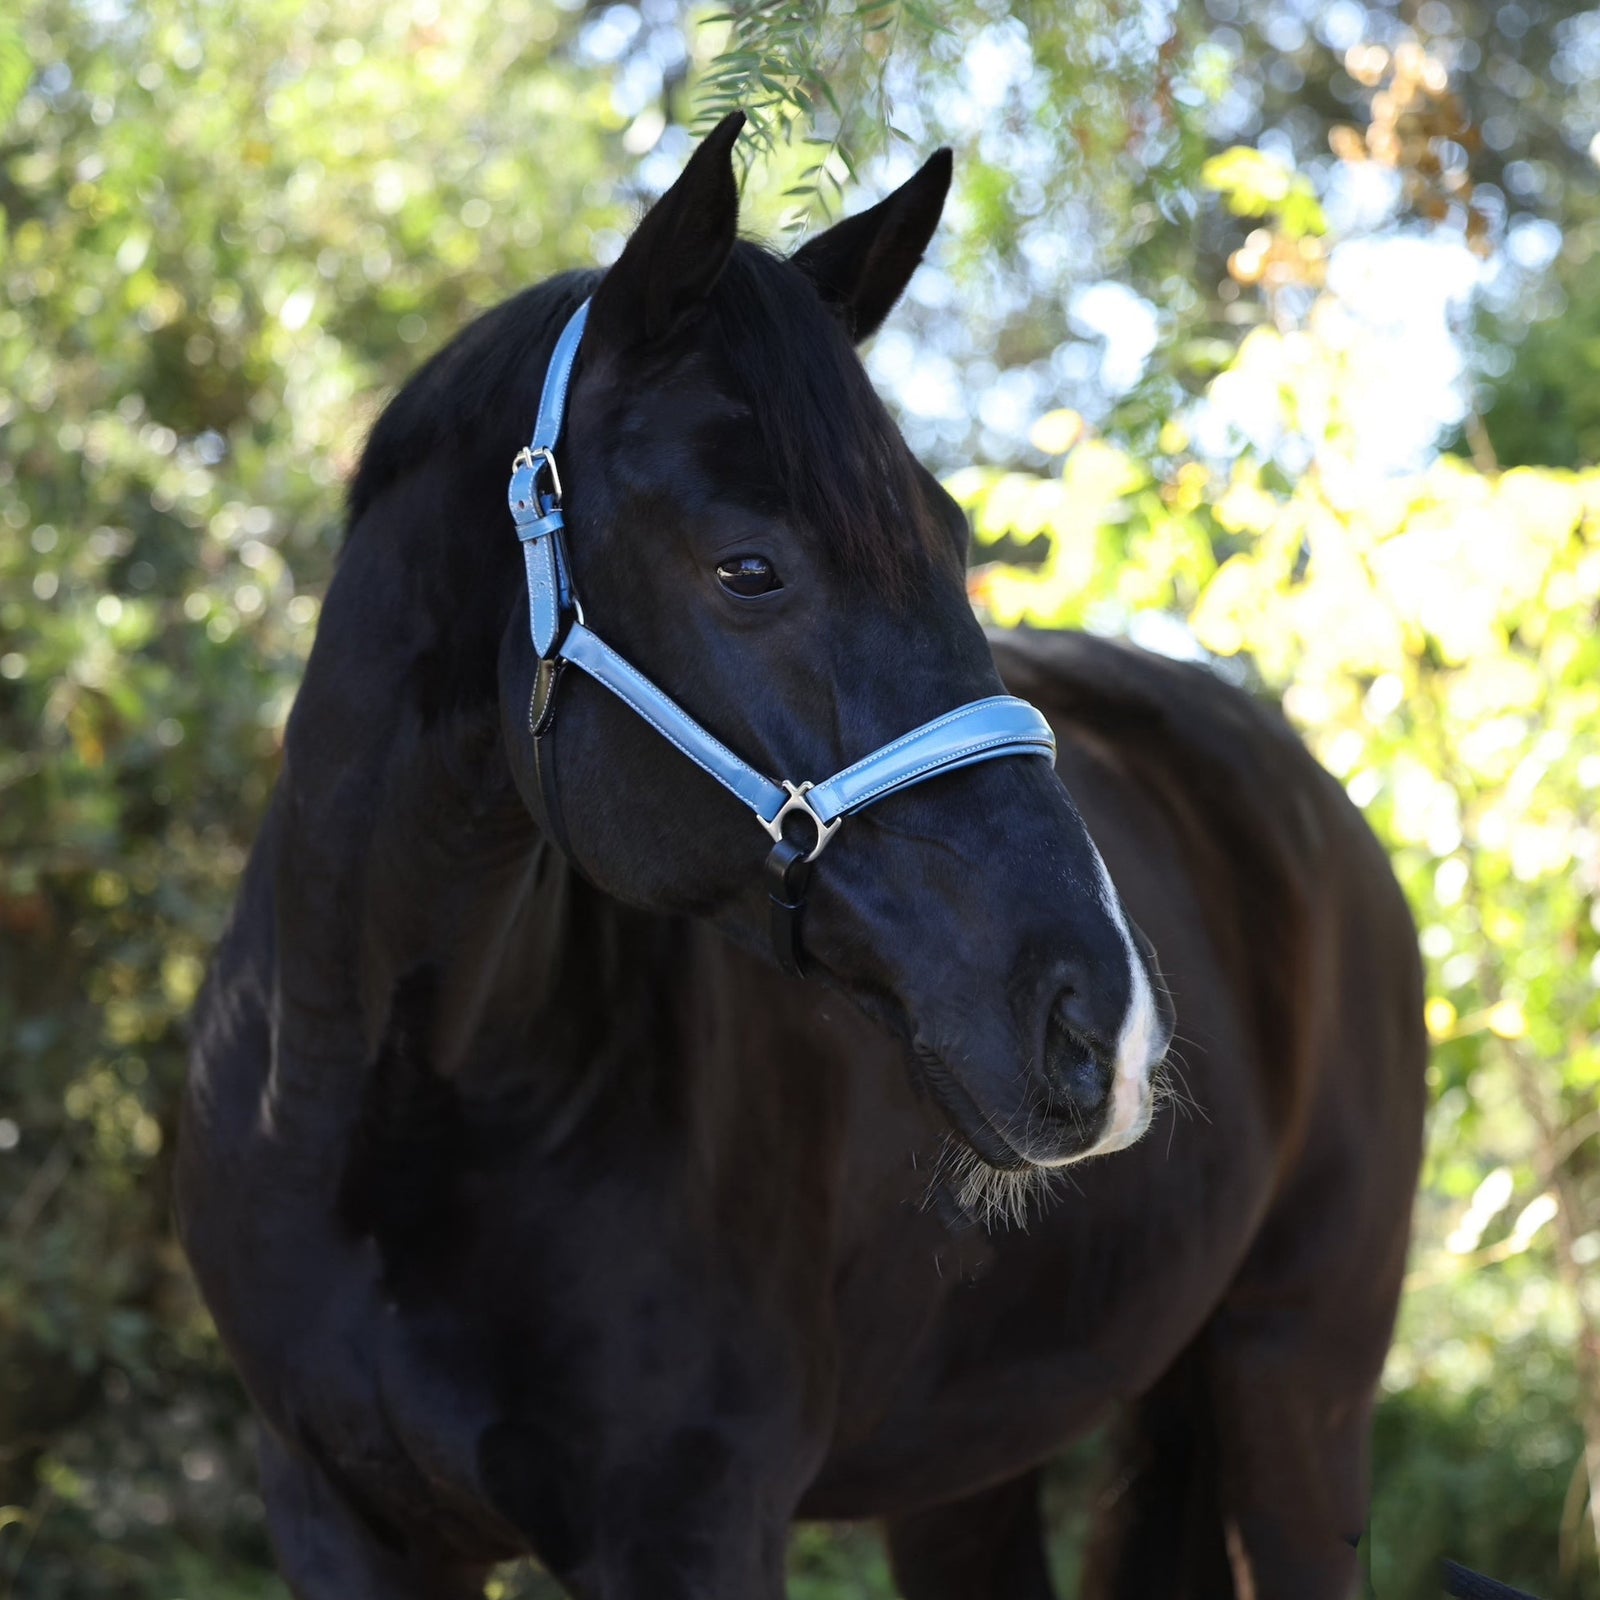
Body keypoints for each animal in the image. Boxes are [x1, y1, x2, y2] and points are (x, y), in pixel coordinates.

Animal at [175, 116, 1427, 1600]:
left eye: (950, 536)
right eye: (748, 569)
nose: (1103, 1026)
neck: (390, 1106)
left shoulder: (693, 1525)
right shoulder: (335, 1514)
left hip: (1298, 1382)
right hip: (977, 1460)